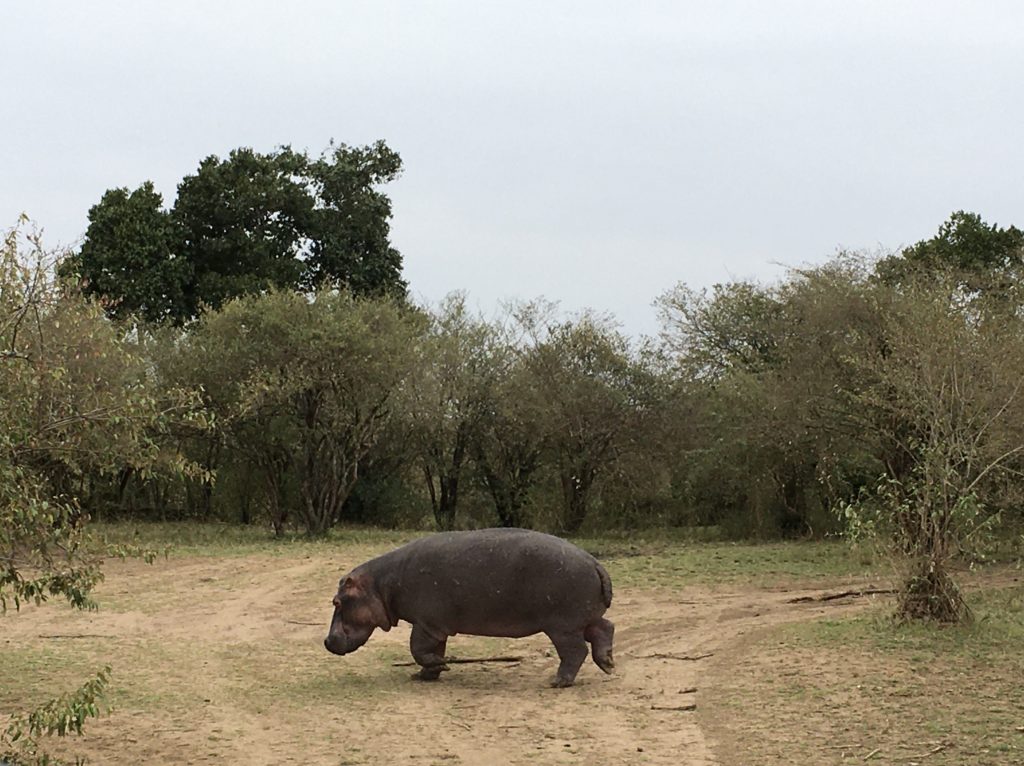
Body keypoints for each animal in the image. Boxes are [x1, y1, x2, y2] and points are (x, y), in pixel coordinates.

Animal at [323, 528, 610, 688]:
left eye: (337, 601)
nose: (326, 641)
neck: (380, 584)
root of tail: (595, 563)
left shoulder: (426, 623)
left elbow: (418, 650)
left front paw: (443, 666)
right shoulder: (436, 627)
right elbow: (432, 651)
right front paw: (427, 675)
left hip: (562, 626)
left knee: (576, 651)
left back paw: (558, 682)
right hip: (582, 618)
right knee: (605, 628)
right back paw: (608, 664)